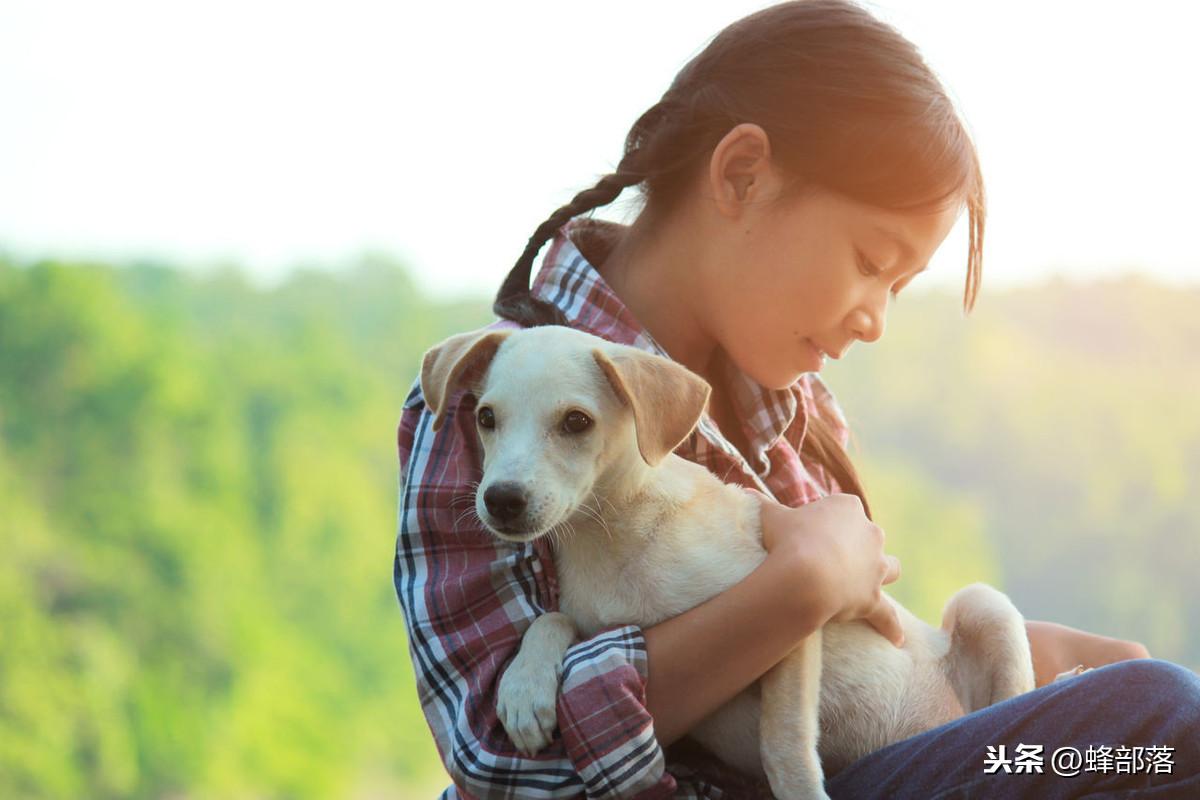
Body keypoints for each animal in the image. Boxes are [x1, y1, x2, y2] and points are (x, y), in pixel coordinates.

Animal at [420, 326, 1032, 800]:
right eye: (486, 418)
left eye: (576, 422)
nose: (501, 500)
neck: (613, 536)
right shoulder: (597, 619)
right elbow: (552, 617)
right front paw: (524, 689)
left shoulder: (794, 612)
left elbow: (782, 743)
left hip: (984, 605)